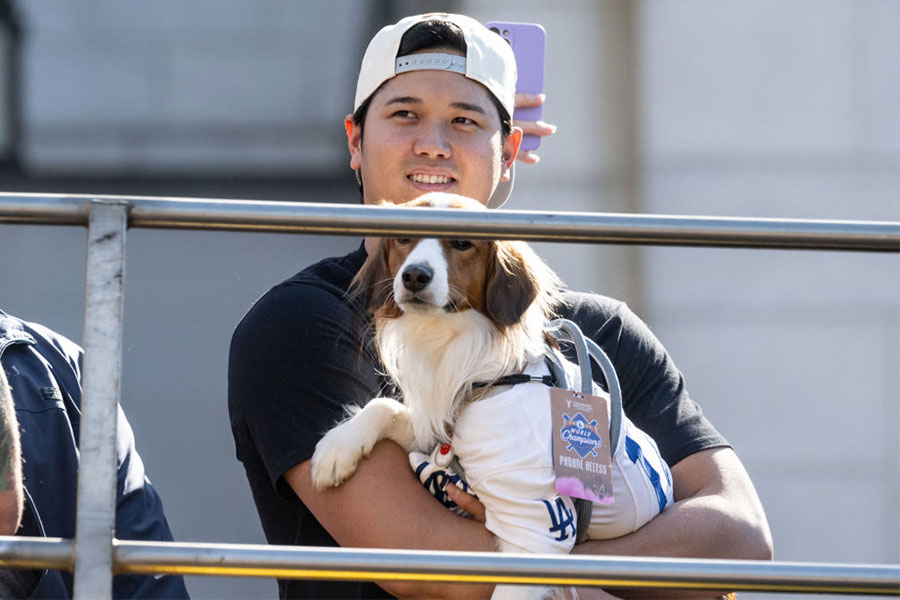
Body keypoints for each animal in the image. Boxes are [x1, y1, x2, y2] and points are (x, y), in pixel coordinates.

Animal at [312, 196, 672, 596]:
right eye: (403, 237)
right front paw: (336, 449)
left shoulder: (536, 530)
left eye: (462, 243)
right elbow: (385, 405)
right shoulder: (436, 434)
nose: (414, 276)